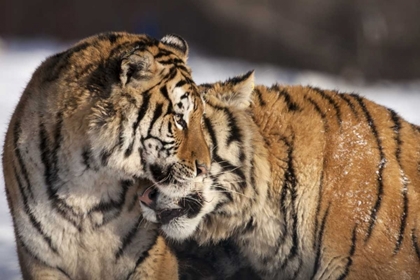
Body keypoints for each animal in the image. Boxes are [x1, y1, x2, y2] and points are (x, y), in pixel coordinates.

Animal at [1, 31, 212, 280]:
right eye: (179, 119)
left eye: (201, 118)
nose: (205, 168)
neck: (88, 183)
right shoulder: (42, 260)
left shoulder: (150, 253)